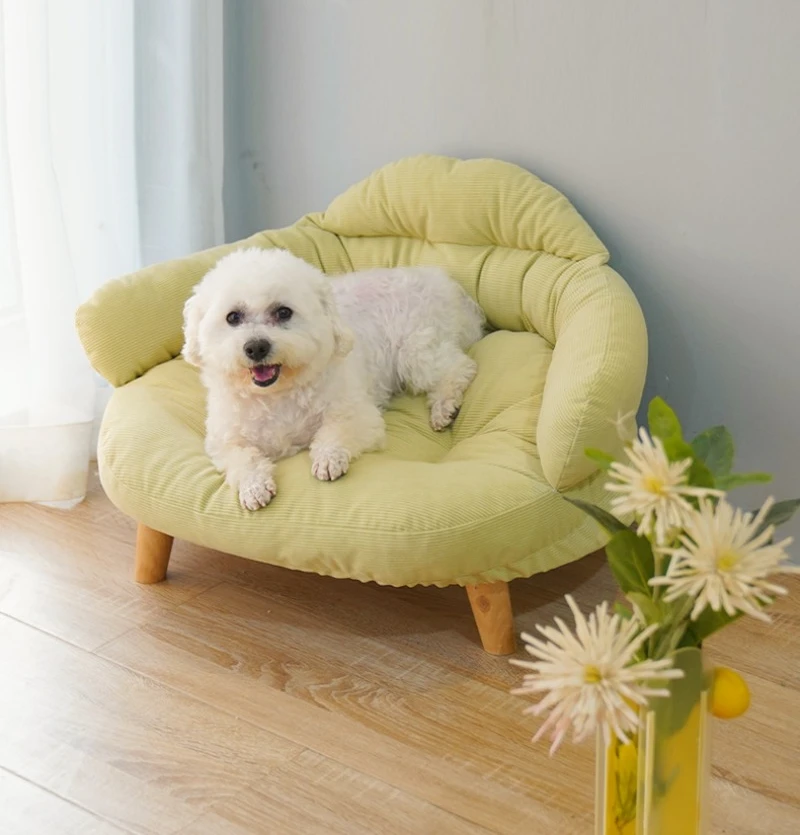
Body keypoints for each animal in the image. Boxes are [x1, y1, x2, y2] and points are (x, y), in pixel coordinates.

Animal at [182, 248, 484, 510]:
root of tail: (445, 283)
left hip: (416, 350)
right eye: (233, 317)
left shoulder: (359, 415)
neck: (279, 393)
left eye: (283, 312)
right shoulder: (225, 440)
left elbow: (335, 431)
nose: (256, 347)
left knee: (460, 367)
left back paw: (444, 407)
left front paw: (328, 459)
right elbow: (241, 459)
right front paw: (253, 486)